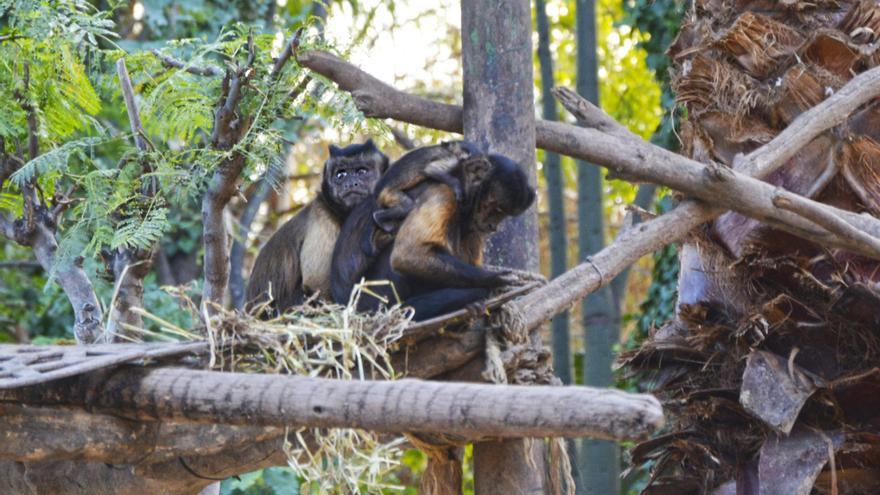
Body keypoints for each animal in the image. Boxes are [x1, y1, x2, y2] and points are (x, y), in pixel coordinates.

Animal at [332, 147, 532, 324]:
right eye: (495, 209)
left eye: (503, 214)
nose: (493, 226)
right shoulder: (443, 192)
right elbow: (407, 256)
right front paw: (494, 279)